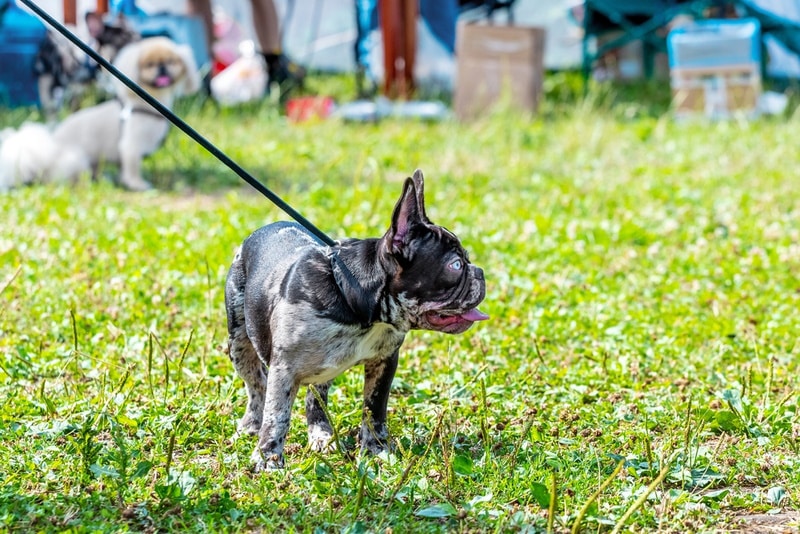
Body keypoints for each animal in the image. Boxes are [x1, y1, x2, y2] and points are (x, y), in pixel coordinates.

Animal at [0, 37, 200, 193]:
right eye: (149, 64)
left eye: (172, 61)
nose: (162, 67)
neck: (144, 103)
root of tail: (48, 149)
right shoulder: (131, 145)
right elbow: (132, 169)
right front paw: (137, 185)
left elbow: (123, 168)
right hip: (78, 159)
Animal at [225, 172, 488, 474]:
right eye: (456, 265)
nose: (480, 272)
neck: (357, 303)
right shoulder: (284, 369)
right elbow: (277, 414)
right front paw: (269, 460)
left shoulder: (384, 361)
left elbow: (374, 409)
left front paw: (375, 451)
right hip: (239, 345)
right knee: (257, 385)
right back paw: (251, 427)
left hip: (321, 370)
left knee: (315, 397)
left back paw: (321, 435)